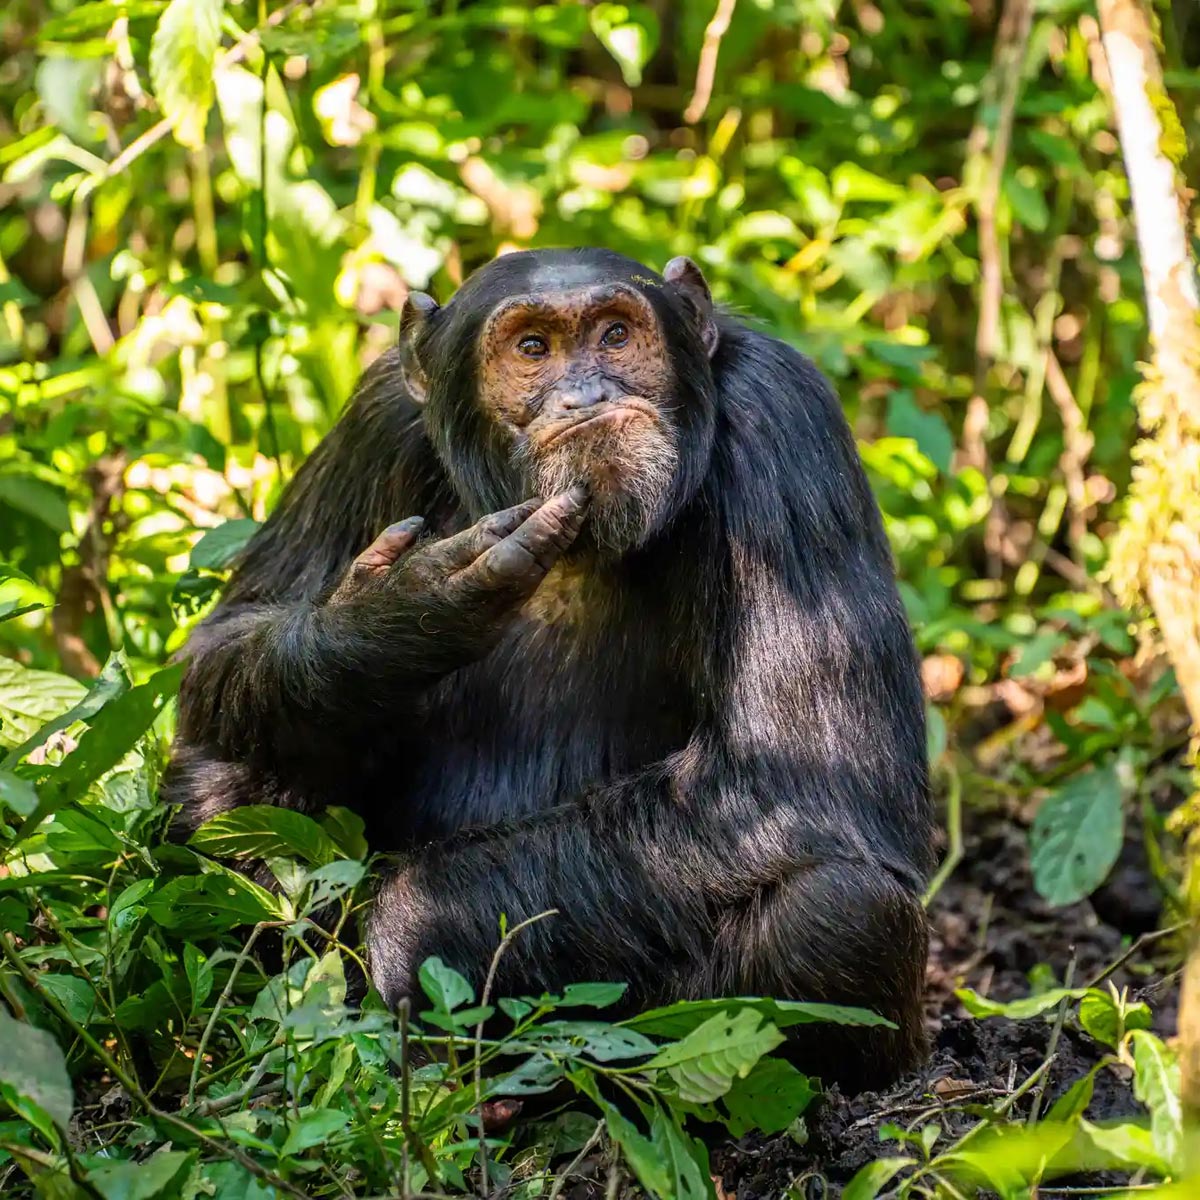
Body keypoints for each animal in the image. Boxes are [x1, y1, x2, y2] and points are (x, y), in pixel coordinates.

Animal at [166, 248, 936, 1094]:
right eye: (532, 348)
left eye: (615, 334)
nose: (587, 393)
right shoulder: (374, 421)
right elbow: (226, 636)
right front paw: (396, 615)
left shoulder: (783, 420)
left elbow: (801, 774)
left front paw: (415, 928)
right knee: (223, 785)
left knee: (839, 910)